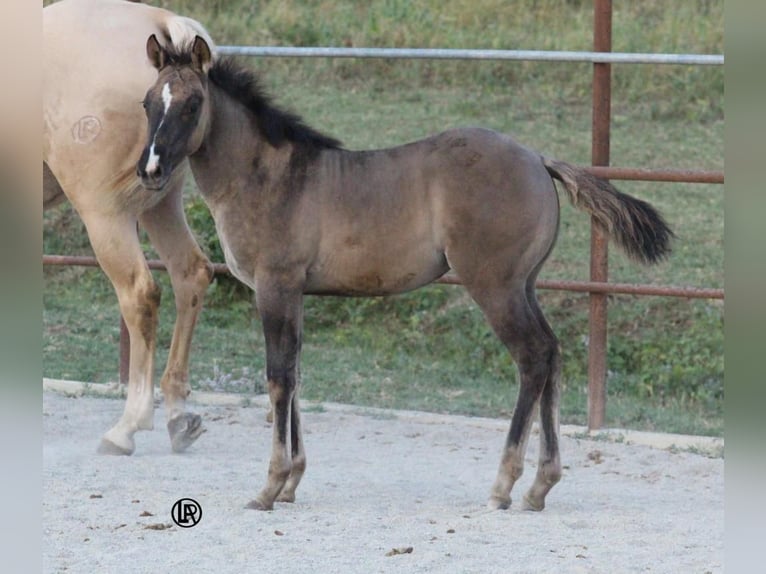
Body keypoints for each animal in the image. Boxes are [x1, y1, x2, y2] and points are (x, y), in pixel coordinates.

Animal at [44, 0, 218, 455]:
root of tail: (161, 22)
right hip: (160, 200)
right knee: (191, 273)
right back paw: (178, 416)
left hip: (107, 215)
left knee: (140, 294)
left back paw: (128, 426)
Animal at [137, 35, 673, 512]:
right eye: (147, 103)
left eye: (192, 104)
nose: (150, 169)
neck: (267, 177)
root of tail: (539, 161)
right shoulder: (296, 295)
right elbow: (296, 374)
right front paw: (291, 484)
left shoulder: (275, 288)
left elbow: (278, 380)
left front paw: (269, 487)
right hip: (526, 285)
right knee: (554, 355)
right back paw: (540, 486)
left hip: (494, 287)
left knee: (534, 357)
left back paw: (504, 485)